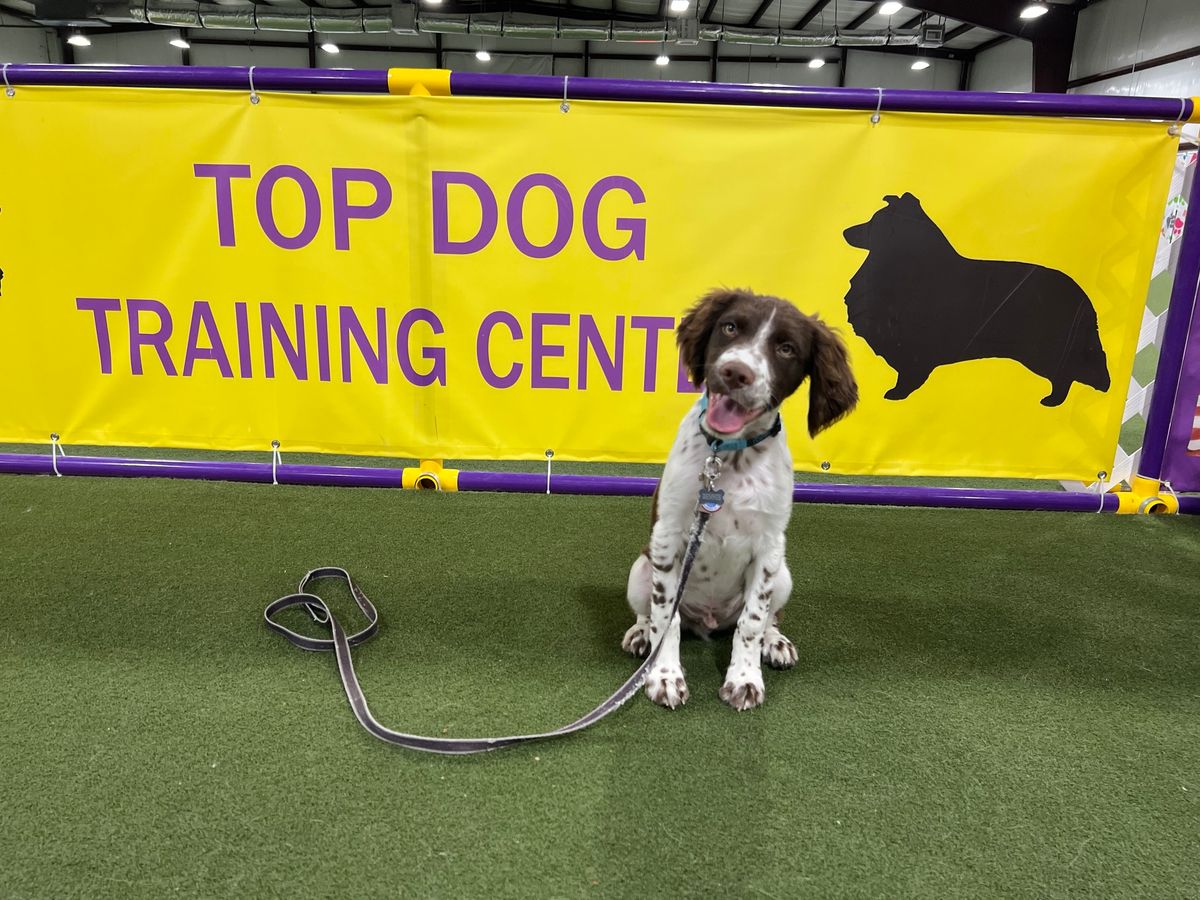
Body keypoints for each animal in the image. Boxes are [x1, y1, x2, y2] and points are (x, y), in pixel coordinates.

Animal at [624, 289, 859, 710]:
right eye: (730, 327)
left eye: (786, 348)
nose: (736, 372)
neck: (728, 455)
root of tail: (709, 619)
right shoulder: (667, 537)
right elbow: (666, 617)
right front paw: (664, 675)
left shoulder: (769, 547)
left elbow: (752, 620)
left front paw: (745, 679)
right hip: (640, 570)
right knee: (649, 613)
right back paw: (639, 635)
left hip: (784, 575)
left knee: (767, 618)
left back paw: (775, 642)